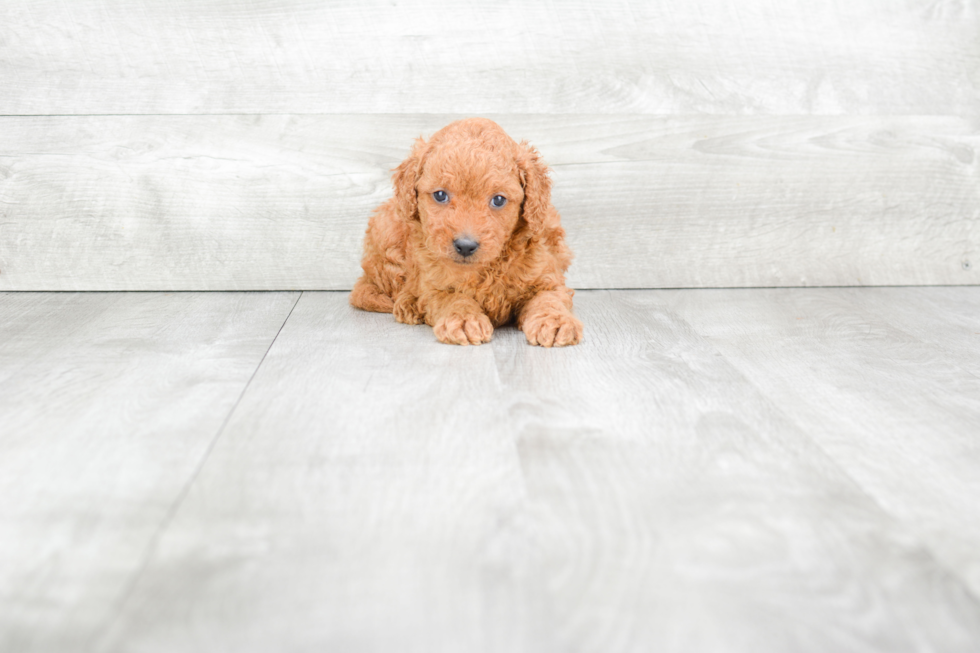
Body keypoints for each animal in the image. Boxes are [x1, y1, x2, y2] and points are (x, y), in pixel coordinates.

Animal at [350, 119, 580, 348]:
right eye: (440, 195)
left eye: (498, 200)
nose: (465, 246)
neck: (485, 269)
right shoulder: (434, 286)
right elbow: (452, 299)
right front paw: (463, 319)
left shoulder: (547, 275)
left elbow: (549, 298)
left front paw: (555, 322)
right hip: (386, 232)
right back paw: (409, 303)